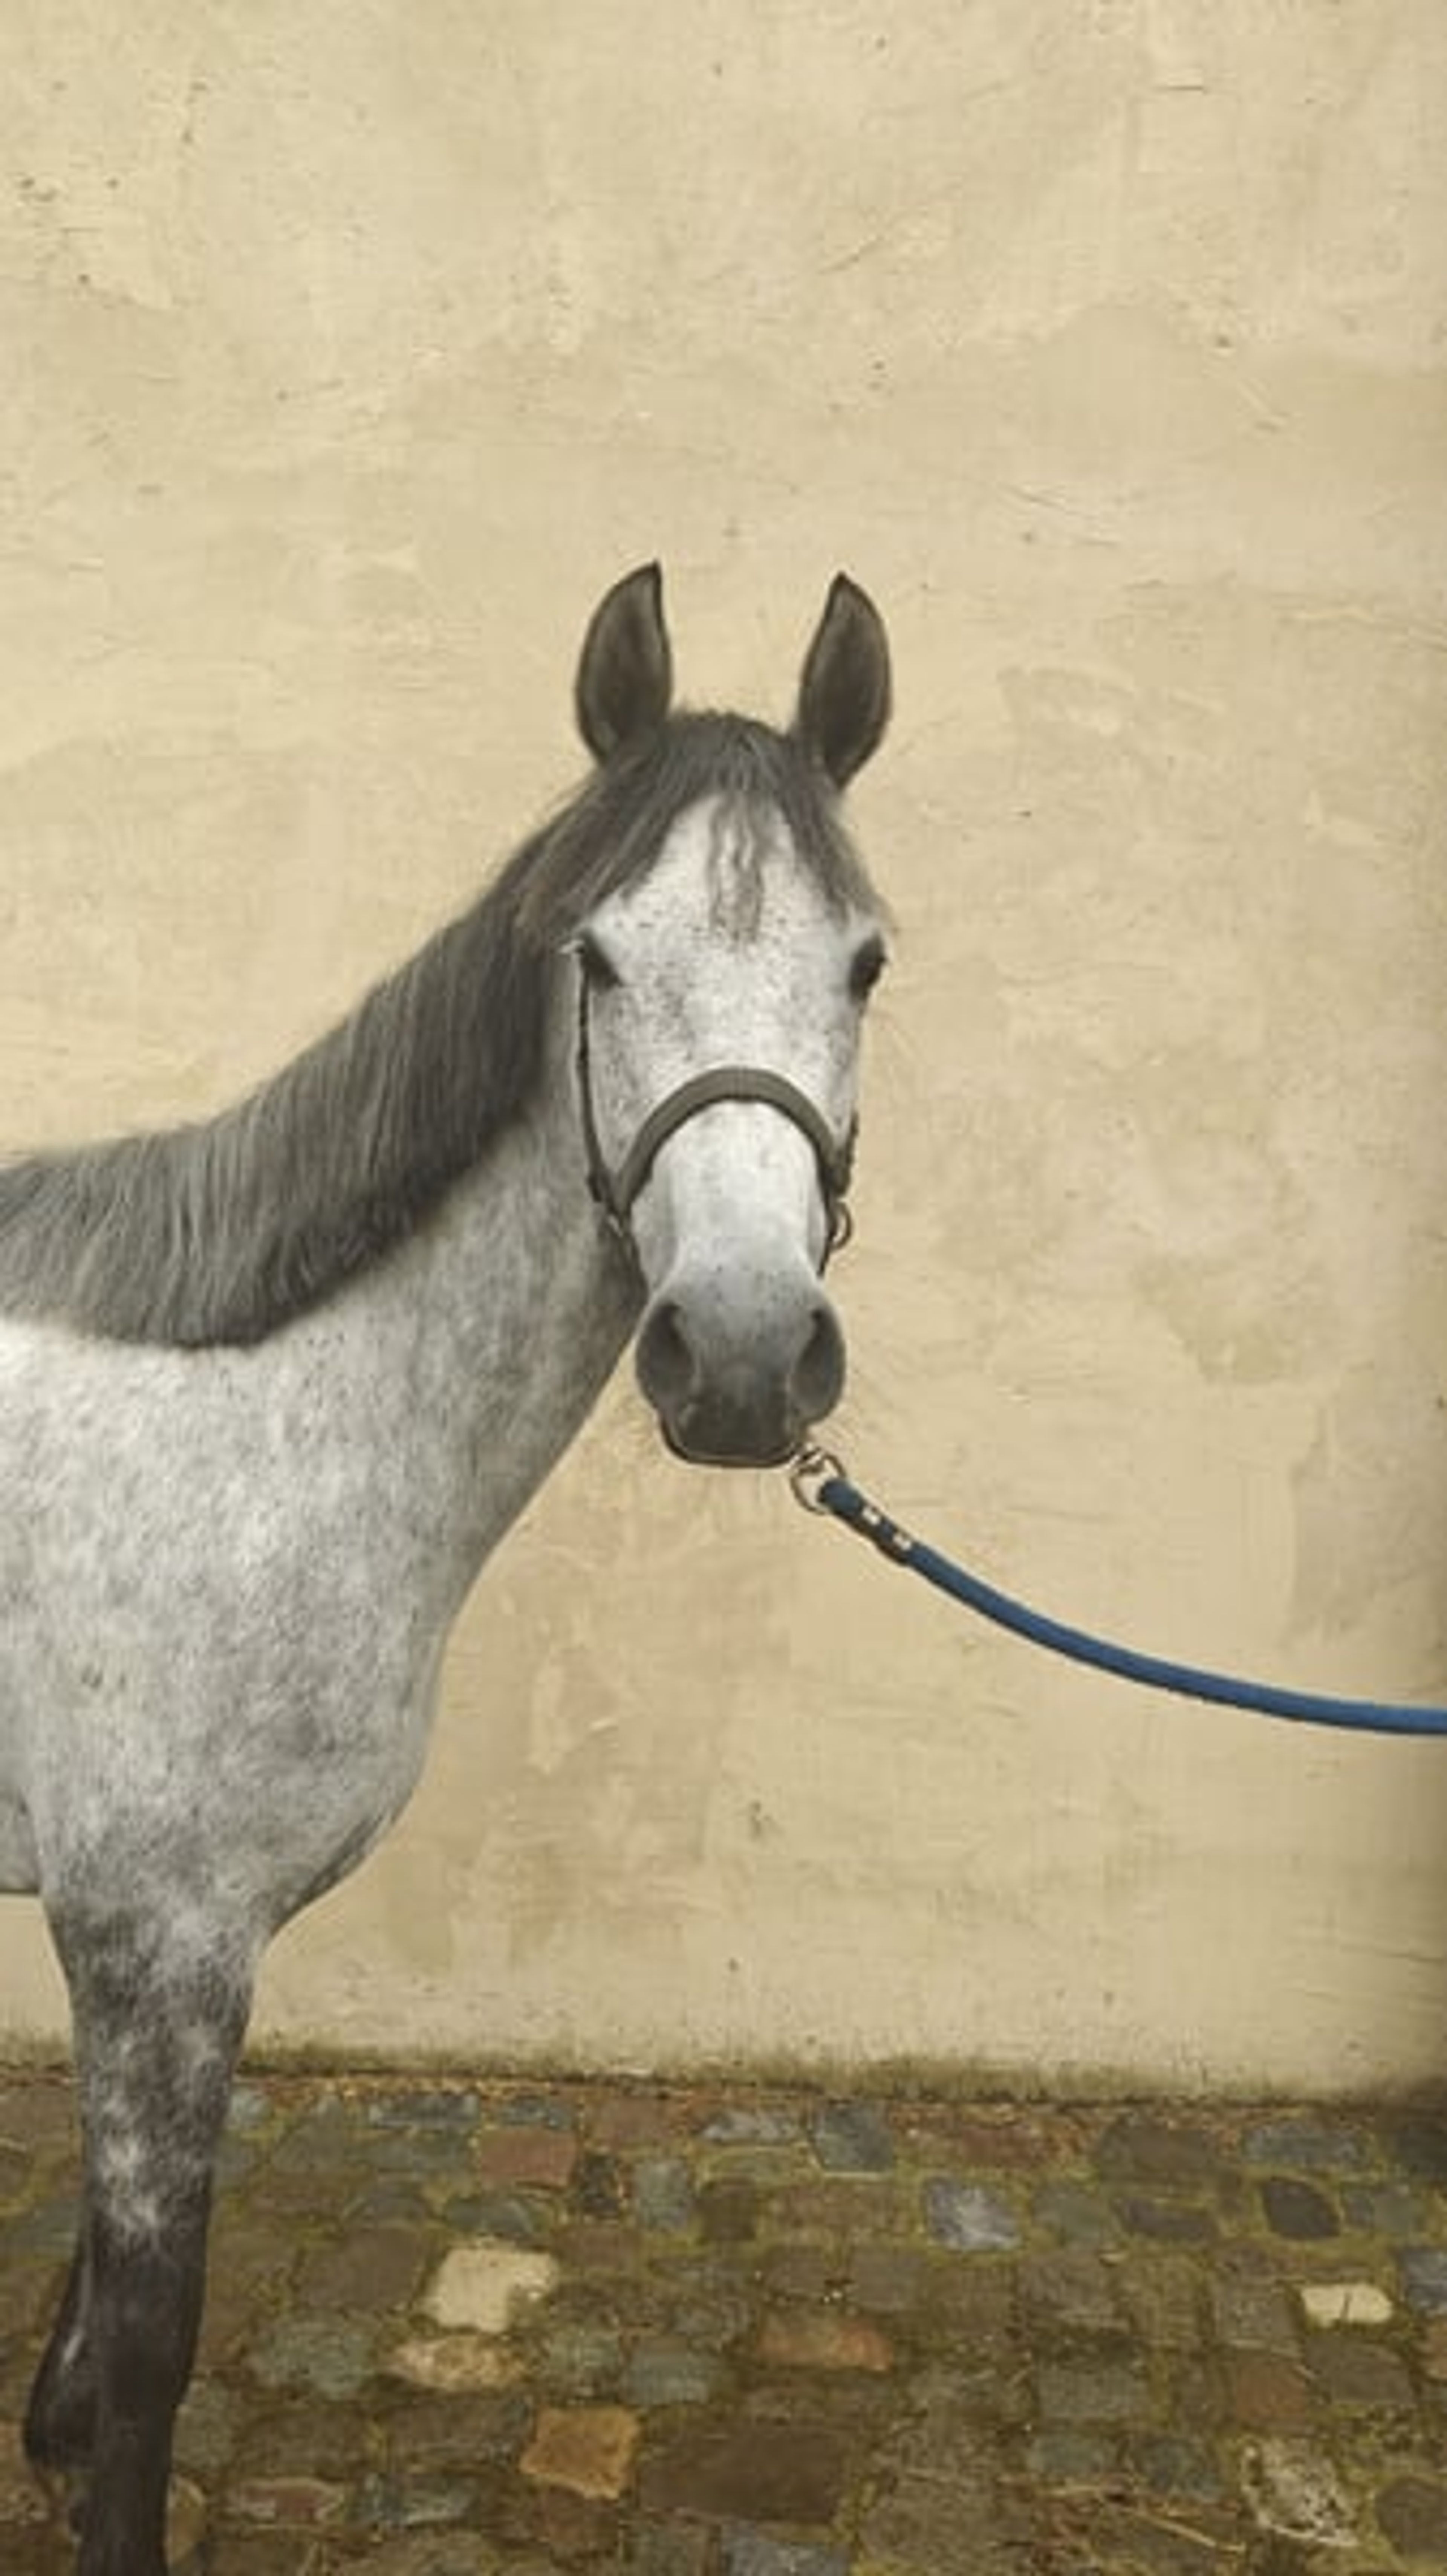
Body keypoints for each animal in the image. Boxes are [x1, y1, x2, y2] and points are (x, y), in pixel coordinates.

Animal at [0, 560, 891, 2573]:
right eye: (598, 957)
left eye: (867, 963)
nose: (740, 1359)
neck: (257, 1432)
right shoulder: (151, 1935)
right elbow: (150, 2338)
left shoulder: (150, 1948)